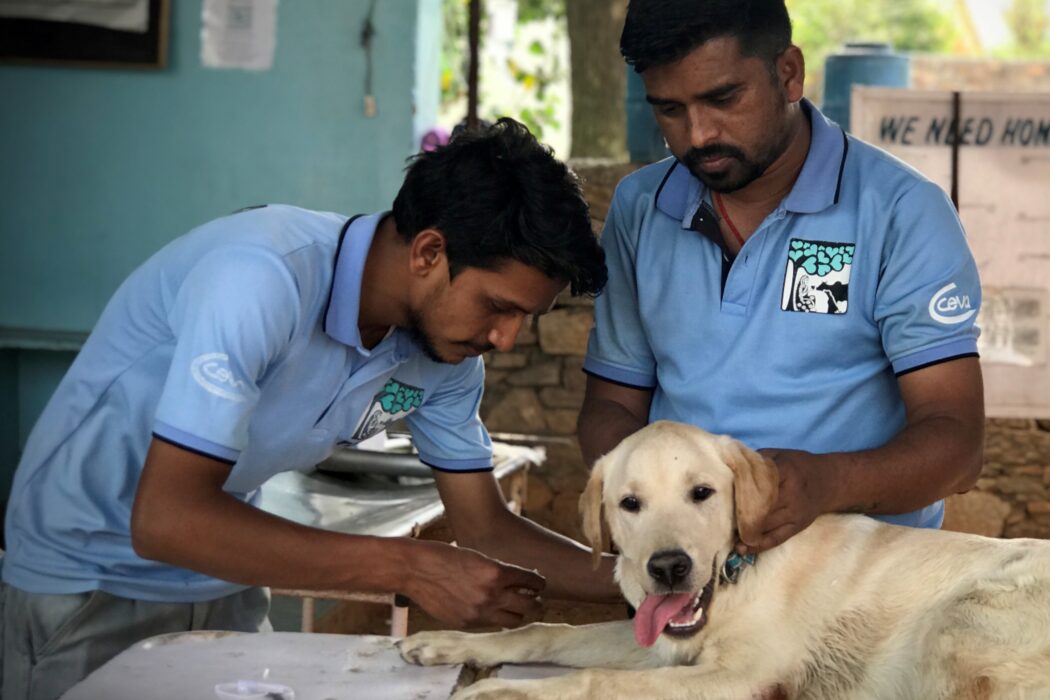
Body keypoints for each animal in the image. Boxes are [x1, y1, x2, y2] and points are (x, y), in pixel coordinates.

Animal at [396, 419, 1050, 696]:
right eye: (629, 503)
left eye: (702, 493)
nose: (668, 568)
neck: (739, 579)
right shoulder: (660, 643)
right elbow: (545, 630)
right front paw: (447, 644)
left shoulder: (741, 675)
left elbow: (594, 680)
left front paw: (498, 694)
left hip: (962, 618)